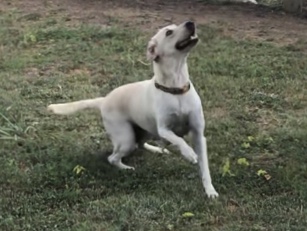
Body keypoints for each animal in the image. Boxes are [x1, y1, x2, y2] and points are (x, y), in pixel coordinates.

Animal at [47, 21, 219, 199]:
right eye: (169, 32)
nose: (190, 23)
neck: (176, 89)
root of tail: (103, 100)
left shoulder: (198, 135)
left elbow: (204, 168)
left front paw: (210, 190)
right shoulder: (164, 129)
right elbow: (179, 140)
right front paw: (189, 153)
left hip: (146, 130)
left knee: (140, 144)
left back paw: (157, 150)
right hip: (126, 139)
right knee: (113, 158)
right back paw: (127, 168)